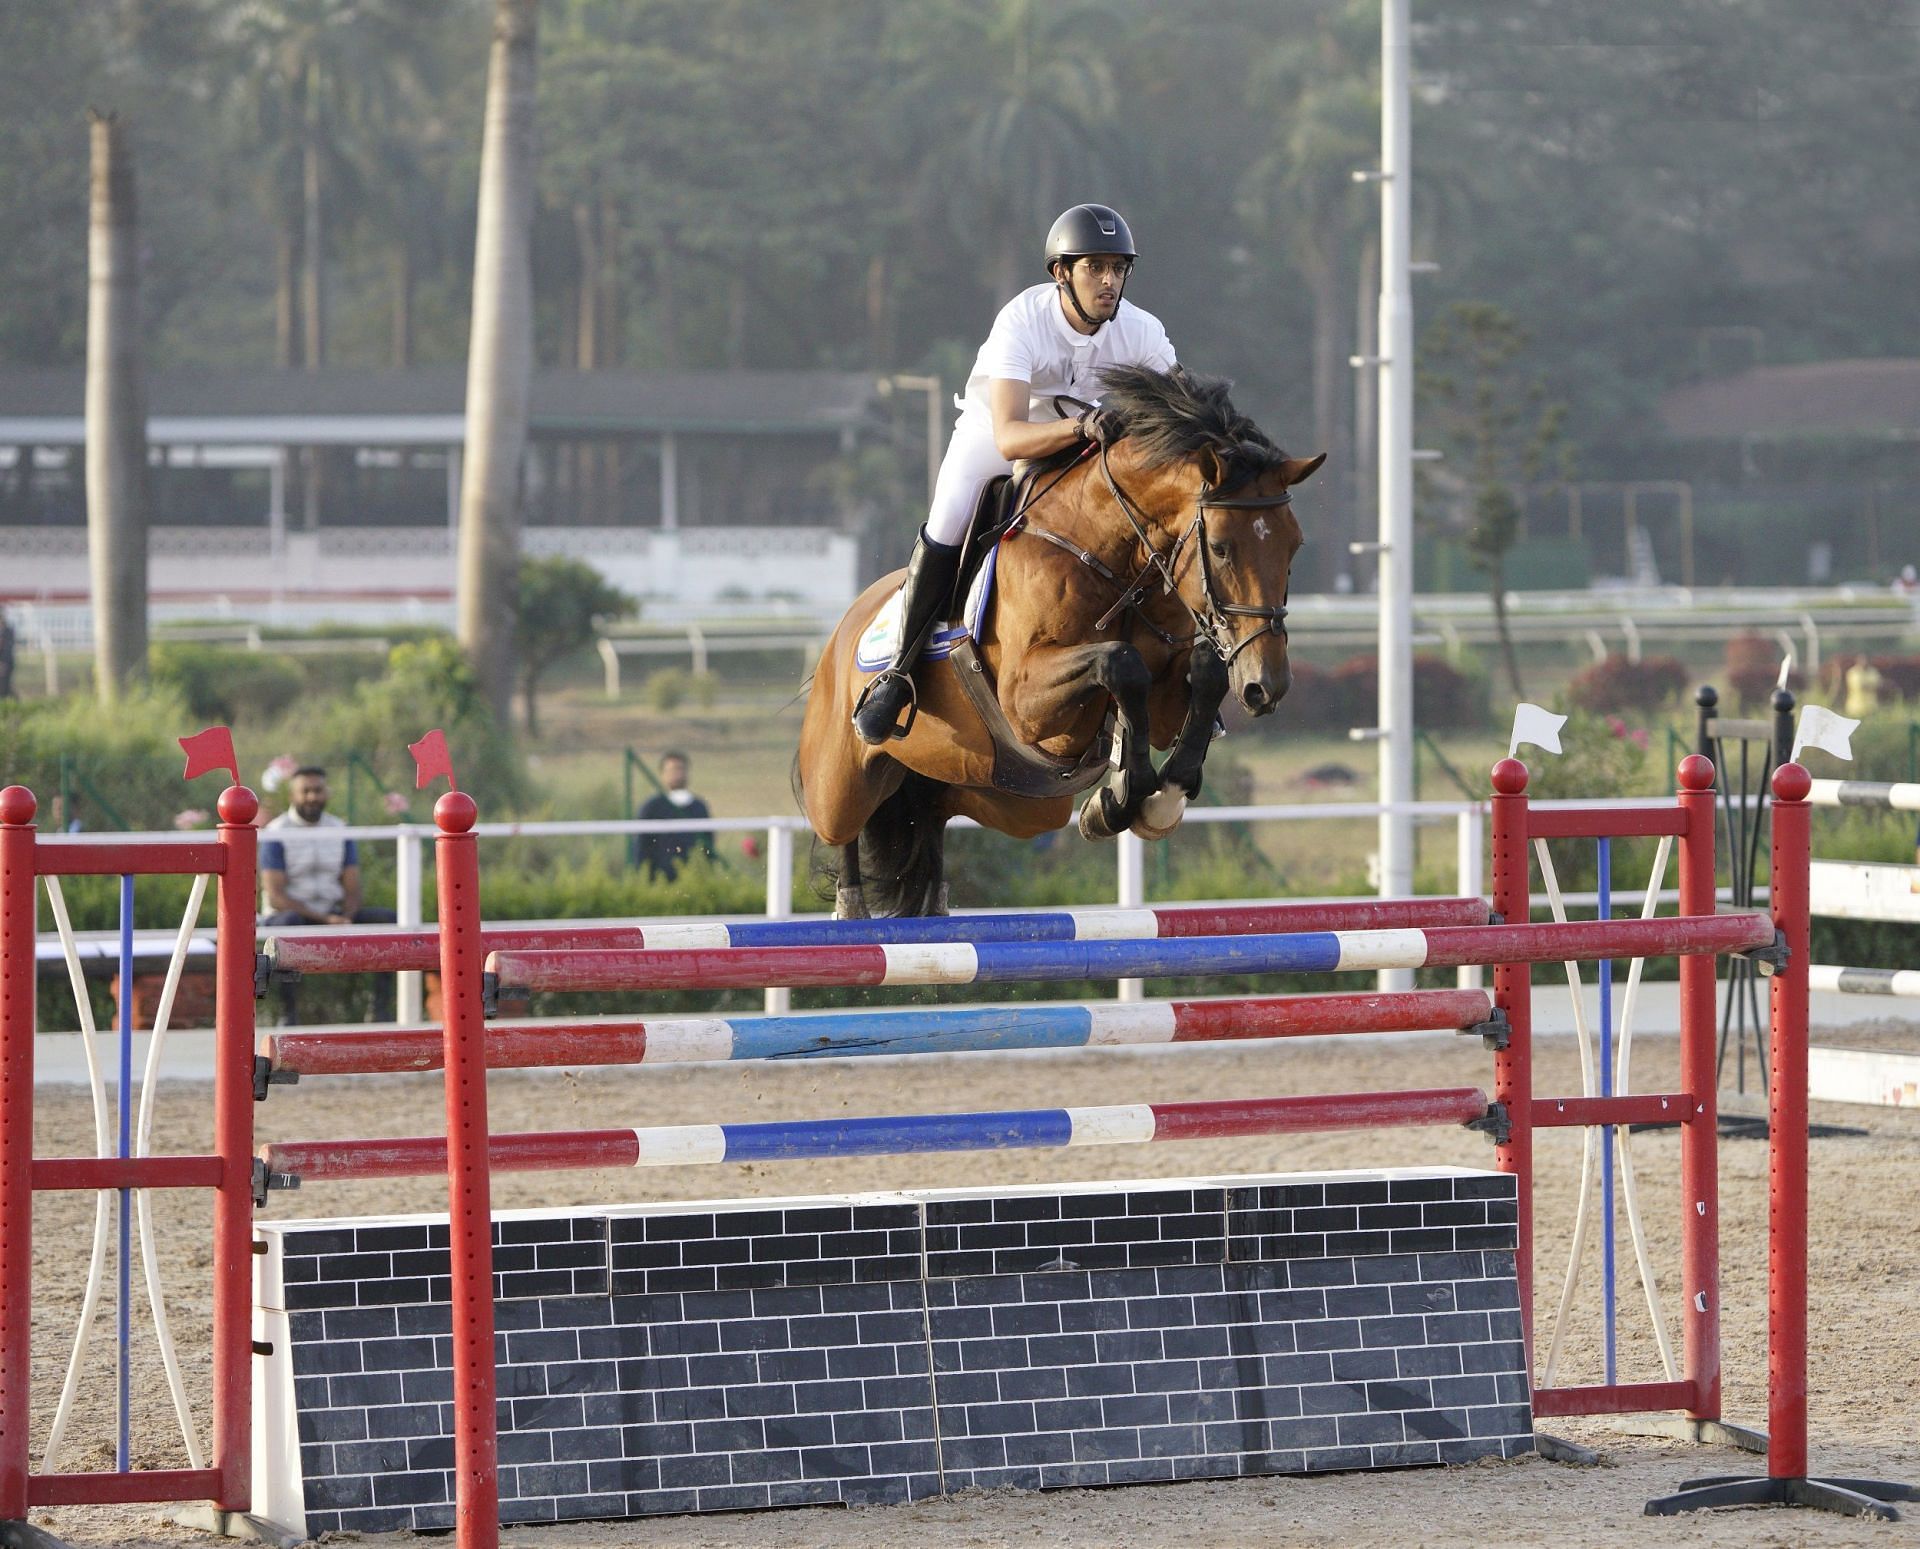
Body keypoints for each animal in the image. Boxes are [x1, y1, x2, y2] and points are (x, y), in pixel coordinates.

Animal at [794, 366, 1320, 921]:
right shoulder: (1025, 702)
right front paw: (1122, 796)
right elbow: (1120, 662)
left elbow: (1205, 674)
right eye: (1219, 548)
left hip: (1006, 798)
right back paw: (852, 901)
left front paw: (1159, 800)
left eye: (1294, 546)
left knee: (931, 817)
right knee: (843, 831)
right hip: (842, 780)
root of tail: (843, 630)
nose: (1268, 685)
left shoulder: (1163, 692)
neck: (1114, 556)